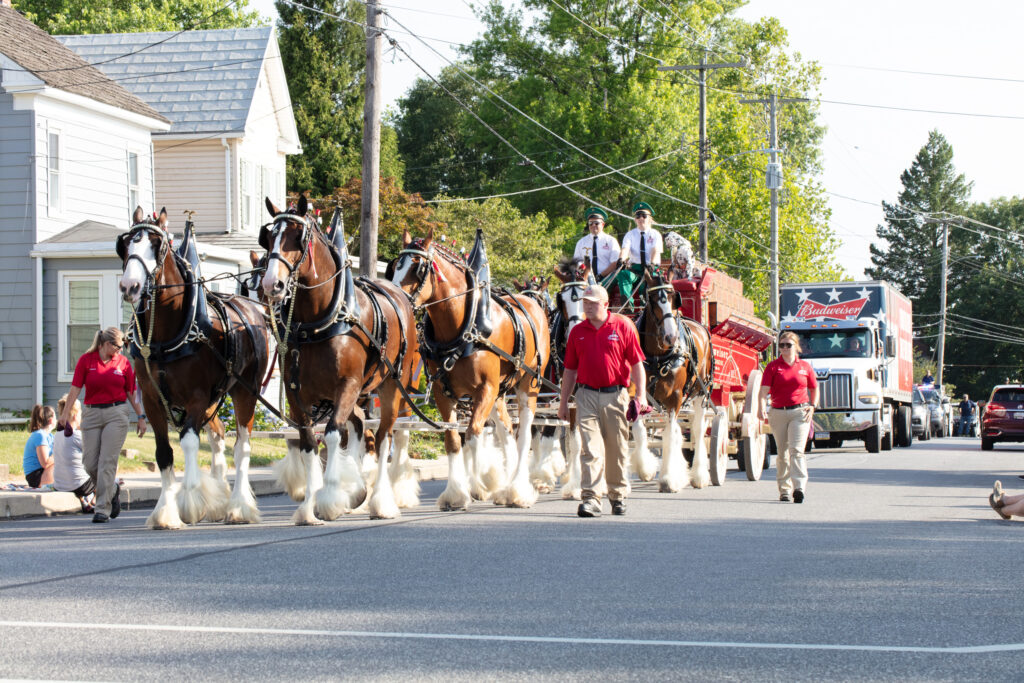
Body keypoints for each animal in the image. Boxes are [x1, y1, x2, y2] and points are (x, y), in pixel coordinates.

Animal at [391, 229, 552, 507]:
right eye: (395, 265)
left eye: (417, 267)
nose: (394, 296)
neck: (464, 328)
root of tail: (532, 304)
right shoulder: (444, 394)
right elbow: (454, 441)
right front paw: (456, 493)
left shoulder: (484, 389)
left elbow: (474, 434)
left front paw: (481, 483)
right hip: (500, 392)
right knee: (506, 430)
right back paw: (507, 485)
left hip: (527, 385)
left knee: (524, 435)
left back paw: (517, 490)